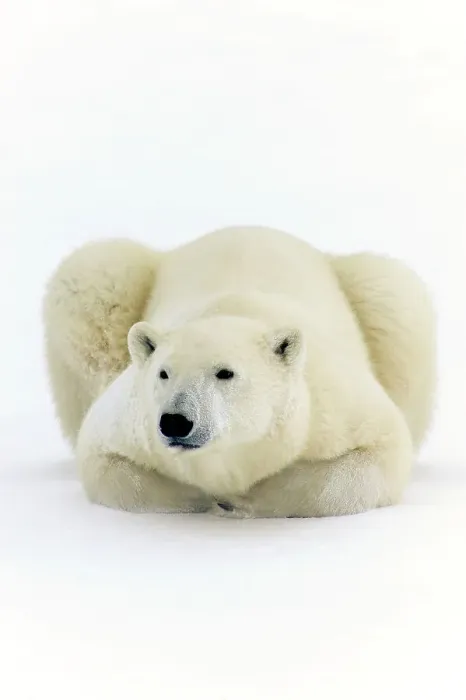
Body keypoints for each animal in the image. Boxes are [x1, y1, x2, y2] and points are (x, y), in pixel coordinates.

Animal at [43, 226, 437, 518]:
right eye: (163, 373)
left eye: (225, 373)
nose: (175, 421)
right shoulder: (129, 418)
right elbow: (102, 459)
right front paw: (198, 497)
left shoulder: (329, 403)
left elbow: (379, 452)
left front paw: (247, 499)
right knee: (92, 271)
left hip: (379, 297)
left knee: (395, 299)